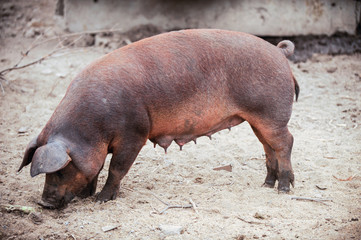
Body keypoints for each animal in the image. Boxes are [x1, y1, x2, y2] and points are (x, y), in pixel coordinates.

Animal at [19, 29, 298, 208]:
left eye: (60, 171)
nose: (44, 203)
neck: (93, 127)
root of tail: (278, 52)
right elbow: (96, 168)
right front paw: (89, 196)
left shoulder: (134, 134)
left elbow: (116, 168)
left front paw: (101, 200)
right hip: (257, 119)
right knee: (268, 146)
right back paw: (266, 184)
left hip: (271, 114)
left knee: (286, 142)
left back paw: (283, 189)